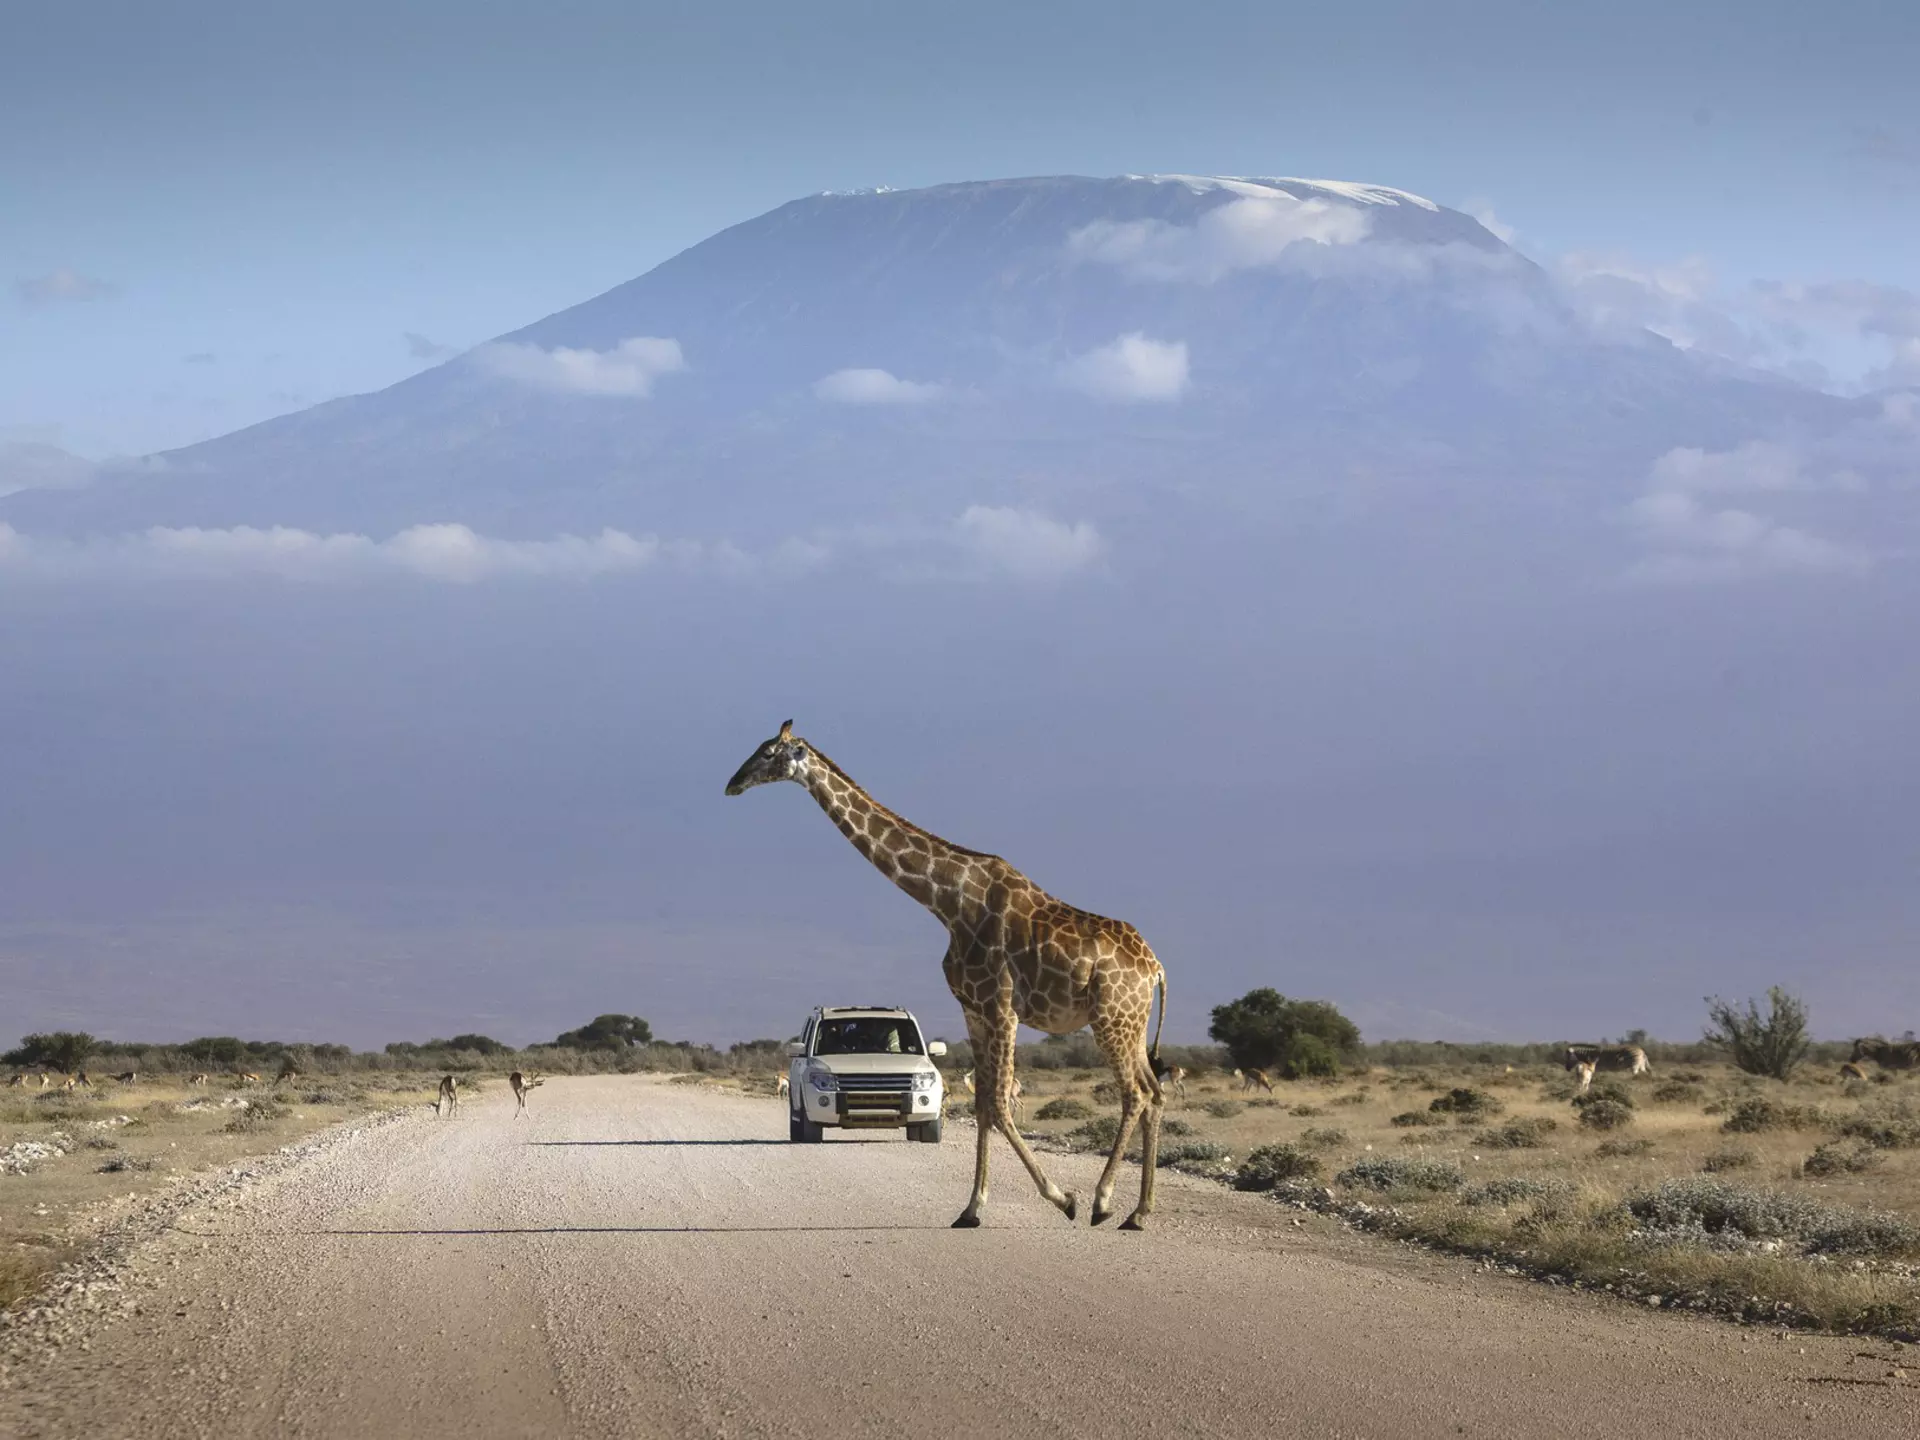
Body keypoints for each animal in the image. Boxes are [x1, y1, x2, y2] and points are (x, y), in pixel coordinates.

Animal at [726, 721, 1170, 1230]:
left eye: (767, 753)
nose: (732, 782)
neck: (949, 903)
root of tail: (1155, 968)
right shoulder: (973, 1010)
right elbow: (983, 1106)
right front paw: (971, 1209)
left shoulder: (1001, 1007)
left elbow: (999, 1104)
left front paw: (1063, 1198)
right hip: (1130, 1023)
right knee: (1154, 1093)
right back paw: (1139, 1212)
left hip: (1112, 1018)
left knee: (1135, 1093)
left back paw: (1103, 1201)